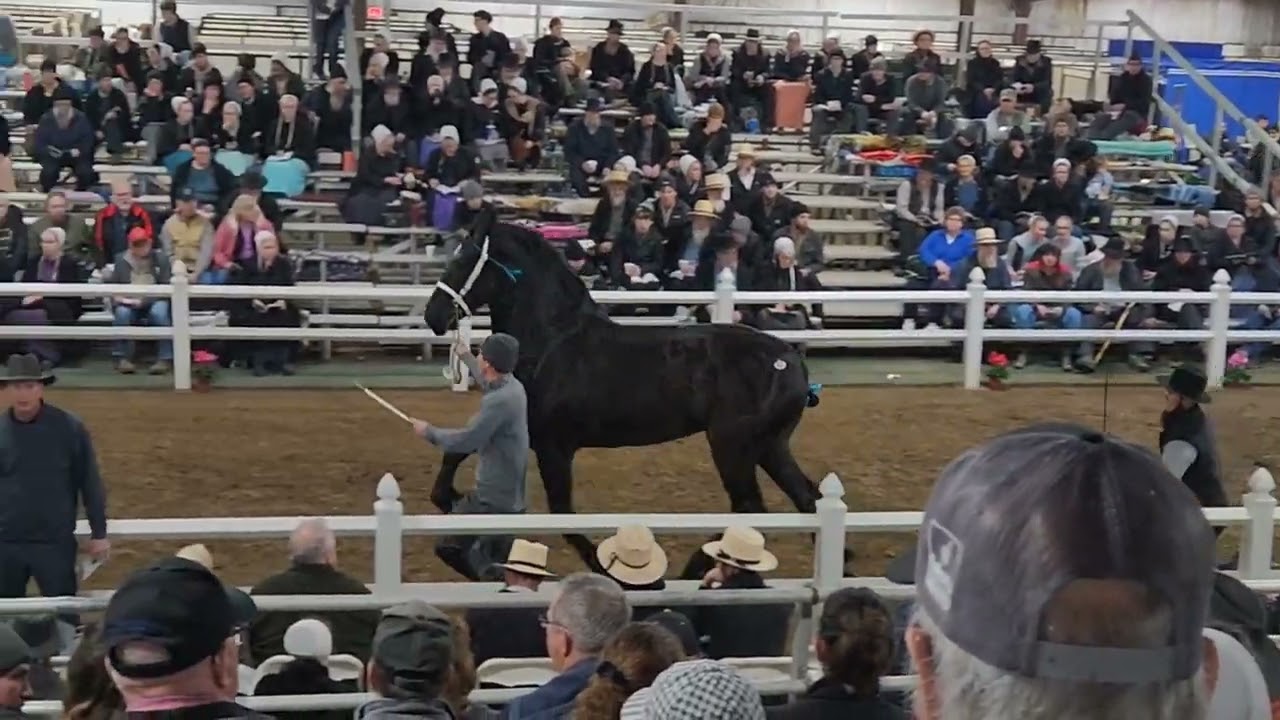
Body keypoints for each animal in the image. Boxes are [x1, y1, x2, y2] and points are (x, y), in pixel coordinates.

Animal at [423, 222, 822, 564]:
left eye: (463, 260)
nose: (433, 316)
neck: (553, 342)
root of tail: (791, 362)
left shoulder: (554, 446)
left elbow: (564, 517)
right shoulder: (515, 427)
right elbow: (456, 452)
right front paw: (451, 500)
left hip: (732, 447)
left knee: (750, 508)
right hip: (768, 446)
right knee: (805, 498)